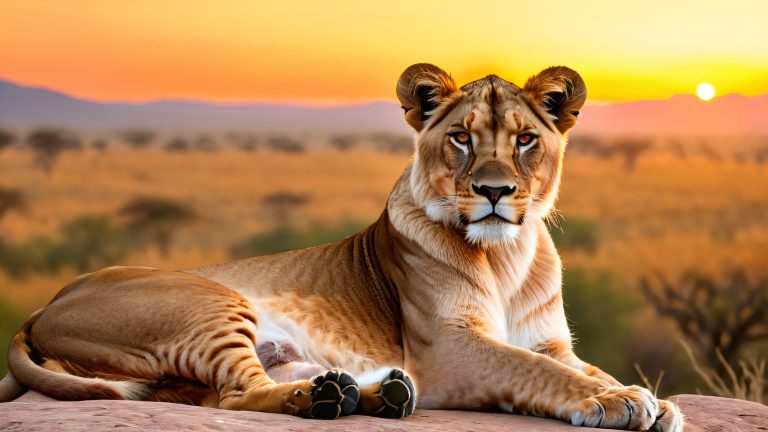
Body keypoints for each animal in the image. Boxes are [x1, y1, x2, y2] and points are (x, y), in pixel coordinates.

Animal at [0, 64, 682, 430]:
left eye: (524, 140)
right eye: (461, 138)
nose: (495, 191)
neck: (505, 254)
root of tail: (42, 306)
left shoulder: (550, 341)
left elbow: (576, 364)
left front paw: (654, 400)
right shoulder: (449, 351)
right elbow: (539, 372)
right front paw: (615, 400)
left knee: (227, 390)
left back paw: (374, 393)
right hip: (207, 302)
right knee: (236, 396)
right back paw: (331, 397)